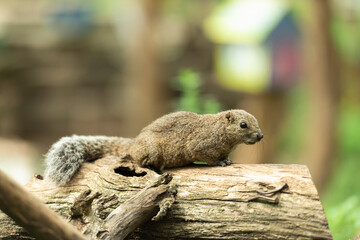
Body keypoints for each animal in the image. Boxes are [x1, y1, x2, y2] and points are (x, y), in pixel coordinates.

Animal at [45, 109, 264, 185]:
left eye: (256, 120)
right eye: (243, 125)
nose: (261, 135)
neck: (219, 130)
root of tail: (135, 143)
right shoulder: (200, 145)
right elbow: (207, 156)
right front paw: (221, 162)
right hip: (151, 150)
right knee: (140, 160)